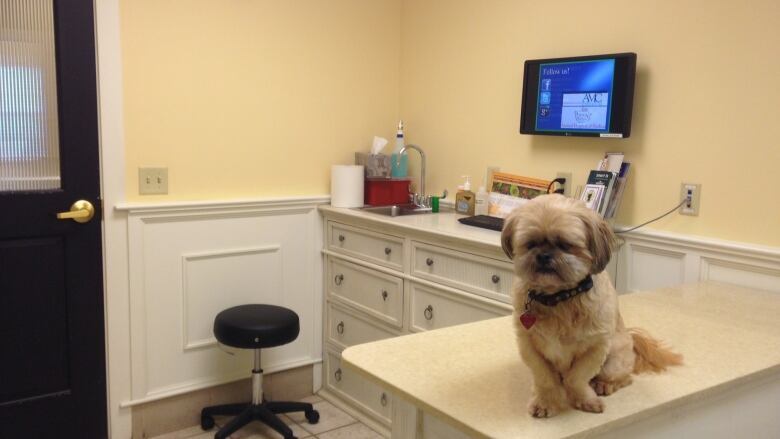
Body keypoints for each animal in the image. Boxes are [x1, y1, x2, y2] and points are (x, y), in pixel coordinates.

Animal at [502, 194, 680, 418]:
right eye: (531, 243)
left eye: (565, 245)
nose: (543, 255)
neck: (559, 298)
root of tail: (631, 336)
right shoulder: (529, 346)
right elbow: (545, 378)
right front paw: (545, 401)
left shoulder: (596, 347)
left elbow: (576, 378)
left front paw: (585, 400)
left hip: (614, 359)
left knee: (625, 378)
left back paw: (604, 385)